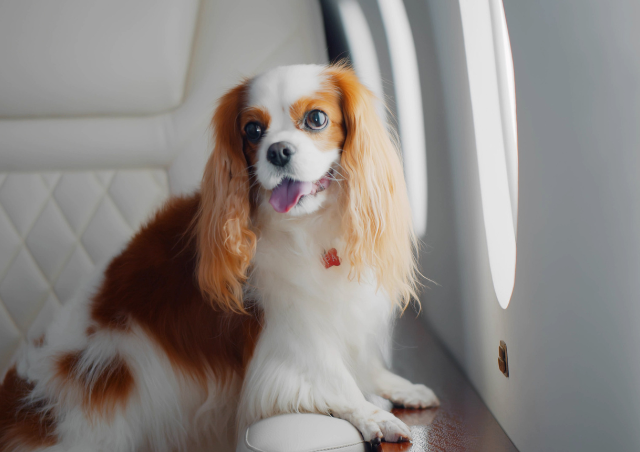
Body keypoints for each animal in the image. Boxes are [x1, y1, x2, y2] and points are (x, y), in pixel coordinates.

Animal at [0, 63, 438, 452]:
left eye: (316, 118)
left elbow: (363, 365)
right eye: (252, 130)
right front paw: (375, 416)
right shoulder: (289, 337)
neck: (309, 228)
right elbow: (334, 380)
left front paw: (399, 387)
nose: (278, 151)